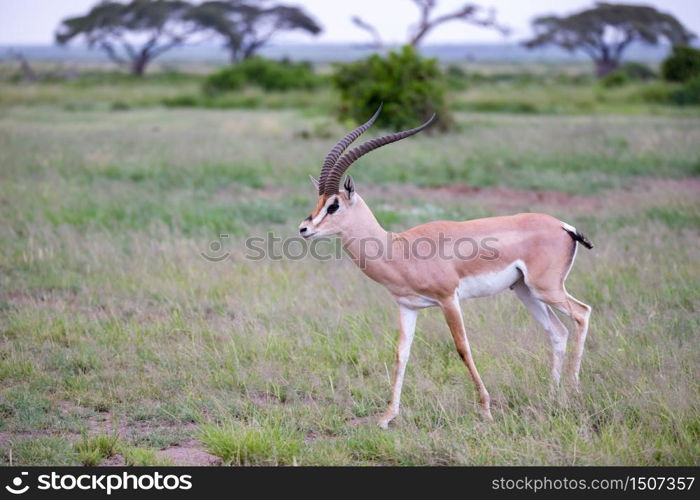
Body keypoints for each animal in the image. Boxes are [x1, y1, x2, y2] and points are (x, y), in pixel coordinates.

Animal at [298, 106, 592, 430]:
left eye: (334, 205)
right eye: (319, 201)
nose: (304, 229)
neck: (398, 249)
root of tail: (564, 226)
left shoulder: (448, 299)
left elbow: (463, 347)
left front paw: (485, 409)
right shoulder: (407, 306)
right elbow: (401, 354)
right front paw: (387, 417)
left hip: (546, 288)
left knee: (582, 313)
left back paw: (573, 391)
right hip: (525, 291)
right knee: (558, 332)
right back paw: (553, 396)